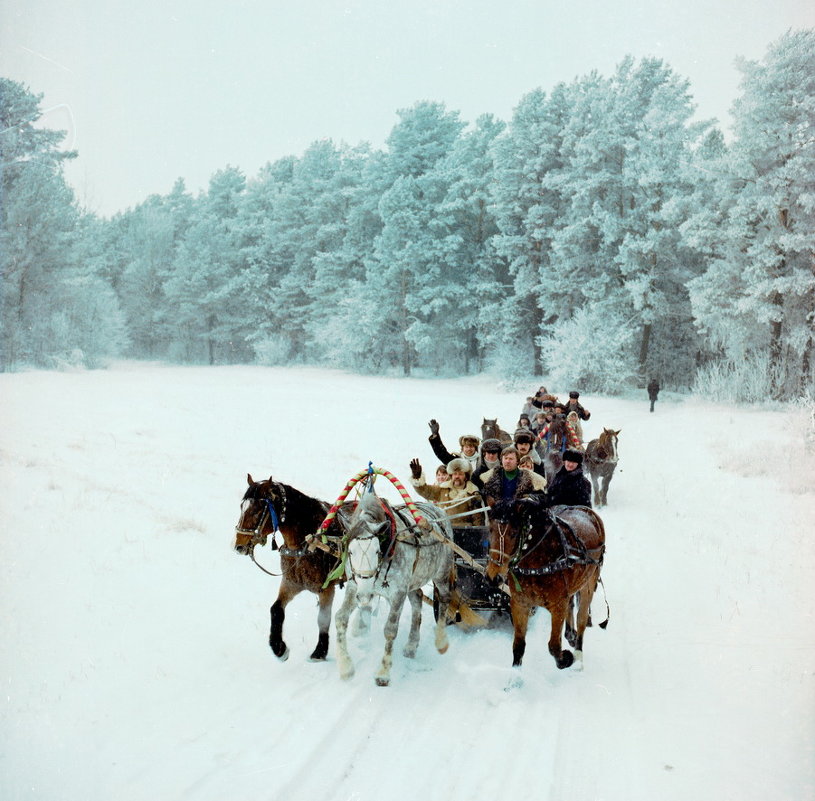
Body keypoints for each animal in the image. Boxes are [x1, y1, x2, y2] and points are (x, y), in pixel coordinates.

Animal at [233, 476, 354, 664]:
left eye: (257, 511)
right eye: (242, 507)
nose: (239, 545)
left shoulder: (326, 589)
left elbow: (323, 619)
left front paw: (319, 652)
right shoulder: (291, 583)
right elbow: (276, 610)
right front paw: (279, 648)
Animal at [334, 490, 456, 684]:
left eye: (377, 551)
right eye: (351, 551)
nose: (365, 596)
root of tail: (439, 509)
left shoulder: (398, 592)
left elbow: (390, 630)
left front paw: (383, 672)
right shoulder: (355, 587)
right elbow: (340, 618)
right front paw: (346, 667)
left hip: (441, 573)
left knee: (444, 599)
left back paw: (441, 641)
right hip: (414, 581)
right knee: (417, 599)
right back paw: (412, 645)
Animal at [484, 500, 604, 668]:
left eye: (513, 533)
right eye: (490, 529)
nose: (493, 577)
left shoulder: (558, 606)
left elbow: (554, 646)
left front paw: (566, 658)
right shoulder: (520, 603)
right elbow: (518, 645)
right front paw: (515, 674)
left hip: (590, 580)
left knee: (582, 617)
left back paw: (578, 653)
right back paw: (570, 635)